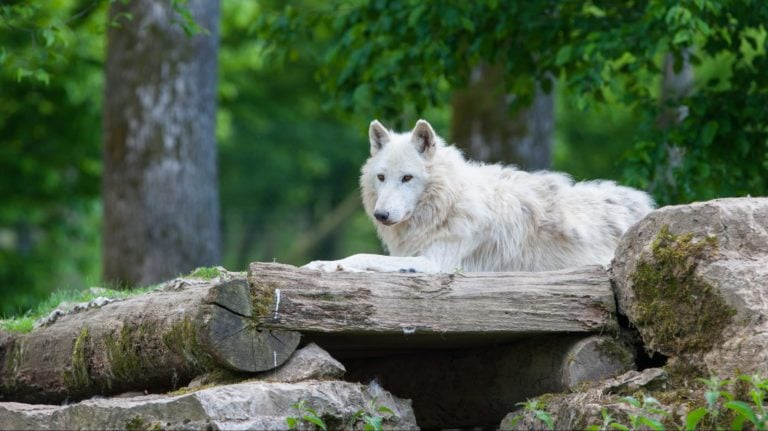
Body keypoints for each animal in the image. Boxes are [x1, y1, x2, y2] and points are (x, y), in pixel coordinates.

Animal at [306, 118, 656, 274]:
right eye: (381, 178)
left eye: (407, 178)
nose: (381, 215)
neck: (448, 203)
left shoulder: (435, 262)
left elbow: (362, 257)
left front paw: (325, 264)